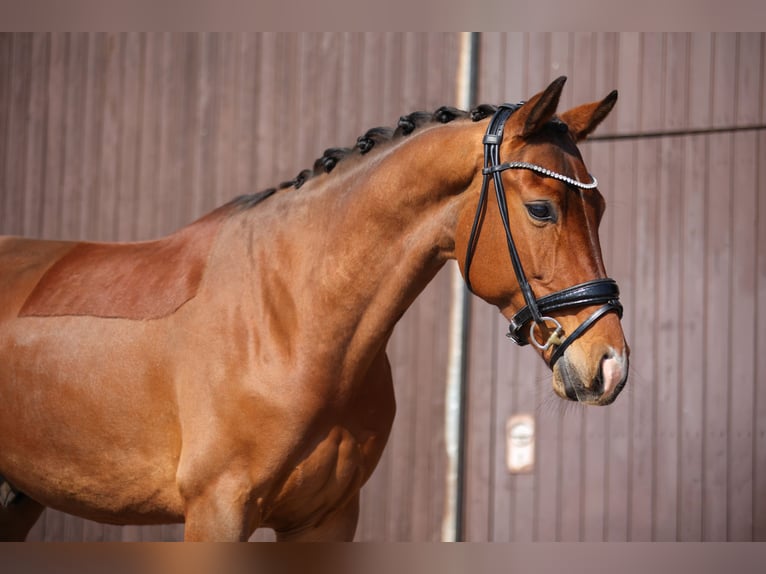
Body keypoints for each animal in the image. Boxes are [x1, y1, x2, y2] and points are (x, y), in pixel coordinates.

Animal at [0, 77, 629, 541]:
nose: (610, 365)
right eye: (542, 209)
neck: (293, 324)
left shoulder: (327, 518)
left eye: (599, 208)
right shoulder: (216, 512)